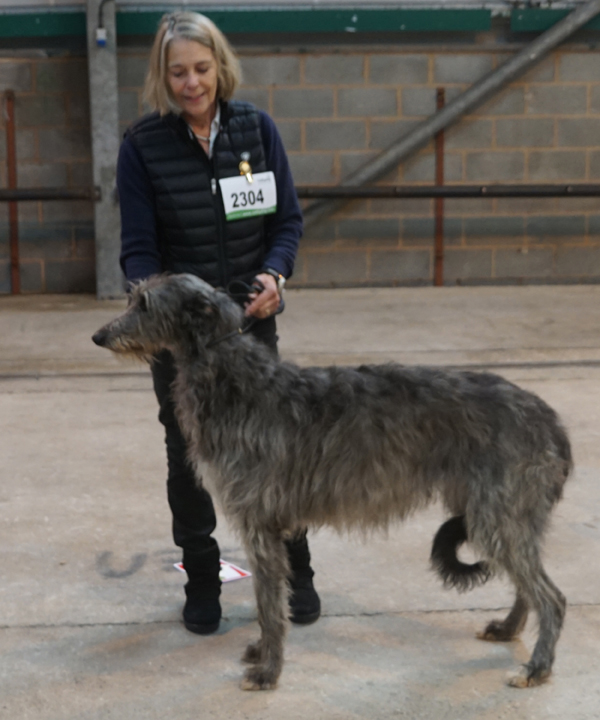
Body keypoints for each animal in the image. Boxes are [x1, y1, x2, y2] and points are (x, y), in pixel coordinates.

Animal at [92, 272, 572, 688]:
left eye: (145, 304)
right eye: (132, 297)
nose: (98, 337)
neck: (235, 379)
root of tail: (550, 420)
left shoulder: (260, 523)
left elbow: (270, 606)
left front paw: (268, 671)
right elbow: (268, 603)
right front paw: (262, 653)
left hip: (498, 513)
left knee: (552, 597)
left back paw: (537, 667)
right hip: (500, 515)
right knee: (529, 585)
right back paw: (509, 628)